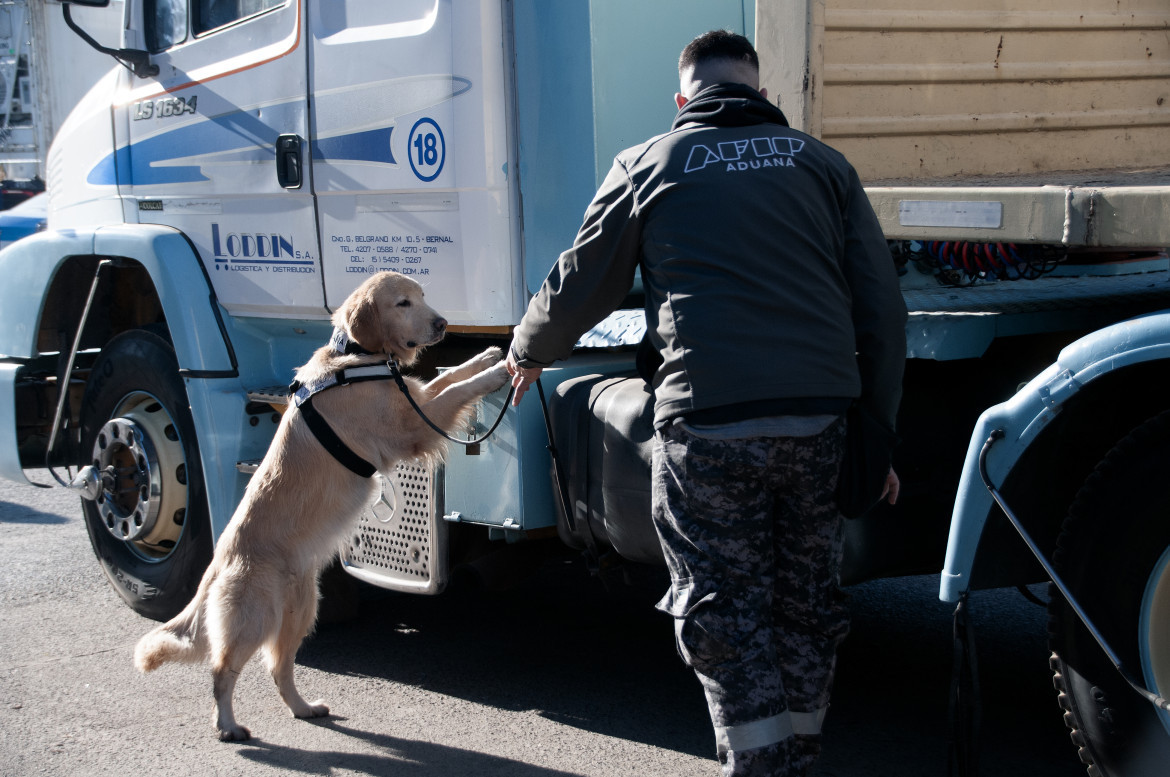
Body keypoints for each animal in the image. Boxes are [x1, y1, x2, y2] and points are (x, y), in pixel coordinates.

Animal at [133, 271, 507, 739]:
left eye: (422, 296)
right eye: (402, 303)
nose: (442, 324)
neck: (355, 357)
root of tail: (217, 564)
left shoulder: (415, 397)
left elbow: (452, 375)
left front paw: (488, 354)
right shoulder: (412, 424)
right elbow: (458, 388)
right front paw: (498, 371)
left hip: (301, 609)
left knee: (278, 669)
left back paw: (304, 708)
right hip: (254, 618)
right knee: (222, 671)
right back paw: (228, 726)